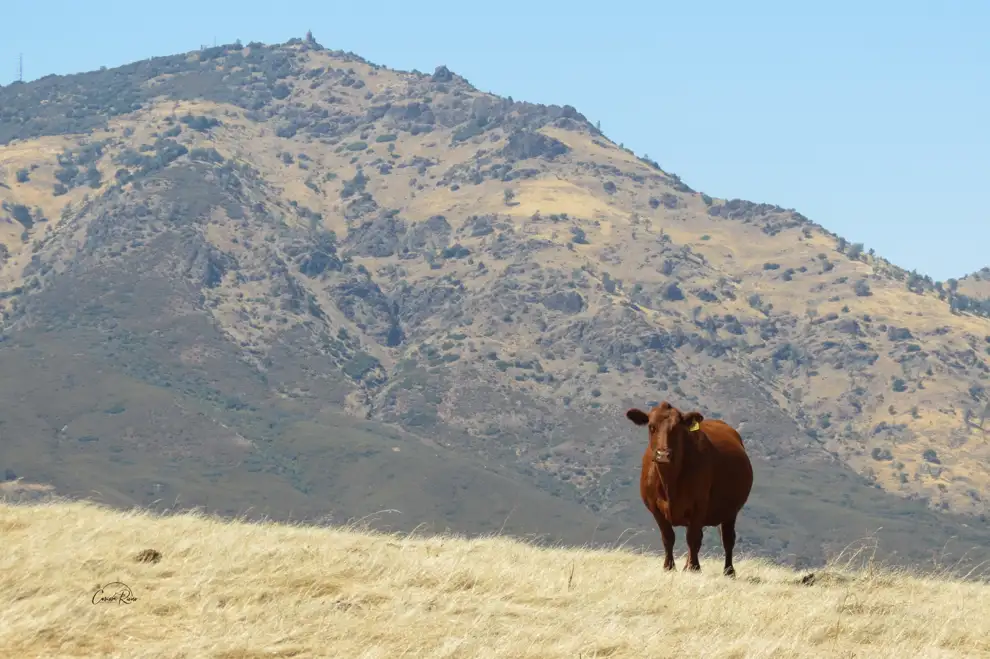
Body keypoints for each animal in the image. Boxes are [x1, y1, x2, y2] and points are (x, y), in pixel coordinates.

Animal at [625, 401, 753, 577]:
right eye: (651, 426)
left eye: (676, 428)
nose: (663, 455)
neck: (670, 483)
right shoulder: (655, 508)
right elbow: (668, 537)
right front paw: (669, 567)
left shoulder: (699, 505)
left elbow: (693, 538)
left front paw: (694, 568)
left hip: (731, 511)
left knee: (727, 539)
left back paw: (728, 571)